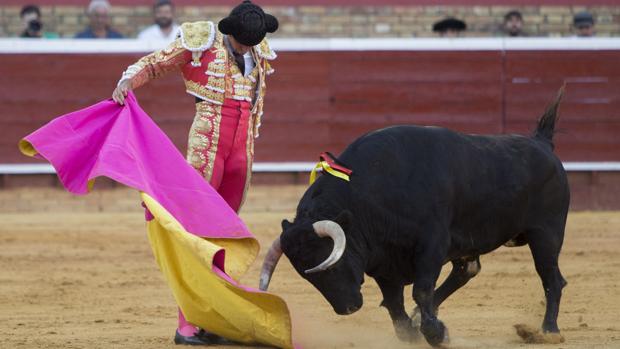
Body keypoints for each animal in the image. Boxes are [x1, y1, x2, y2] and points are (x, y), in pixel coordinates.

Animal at [260, 88, 568, 344]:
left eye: (332, 264)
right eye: (307, 277)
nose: (348, 308)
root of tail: (542, 144)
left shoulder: (432, 245)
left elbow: (420, 290)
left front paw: (436, 334)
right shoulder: (382, 258)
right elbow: (394, 302)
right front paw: (413, 331)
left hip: (546, 233)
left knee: (551, 277)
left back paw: (548, 332)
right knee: (466, 270)